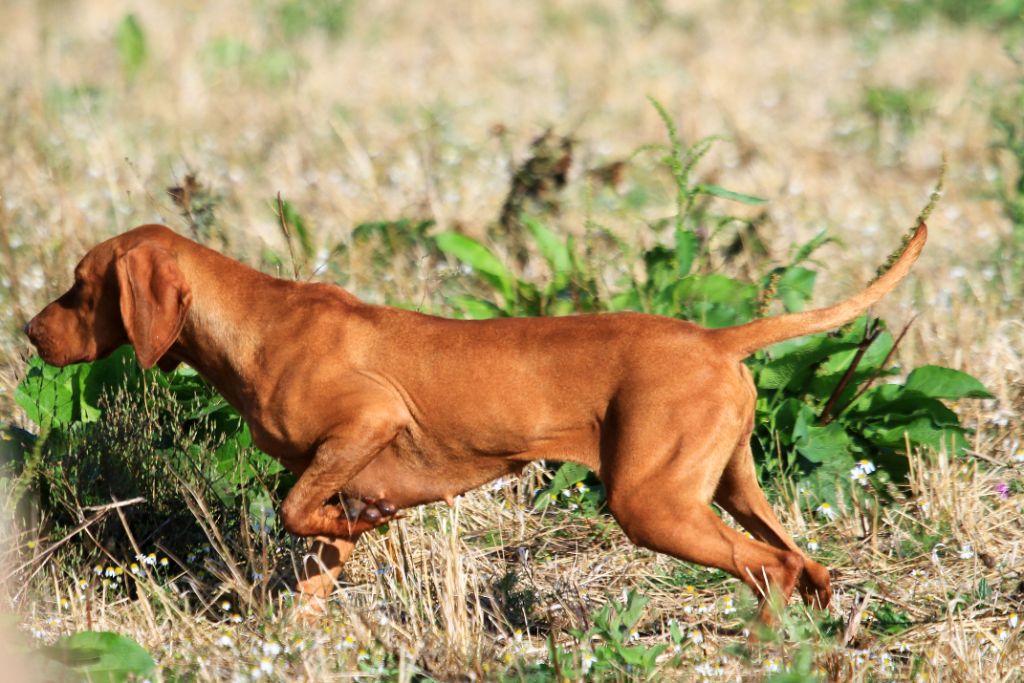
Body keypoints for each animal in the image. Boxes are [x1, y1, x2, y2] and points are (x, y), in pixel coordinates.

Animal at [25, 222, 929, 622]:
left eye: (78, 285)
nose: (29, 333)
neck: (256, 320)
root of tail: (716, 338)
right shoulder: (333, 483)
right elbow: (311, 555)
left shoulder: (370, 419)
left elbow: (294, 508)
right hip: (732, 486)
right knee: (802, 560)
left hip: (652, 503)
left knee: (768, 568)